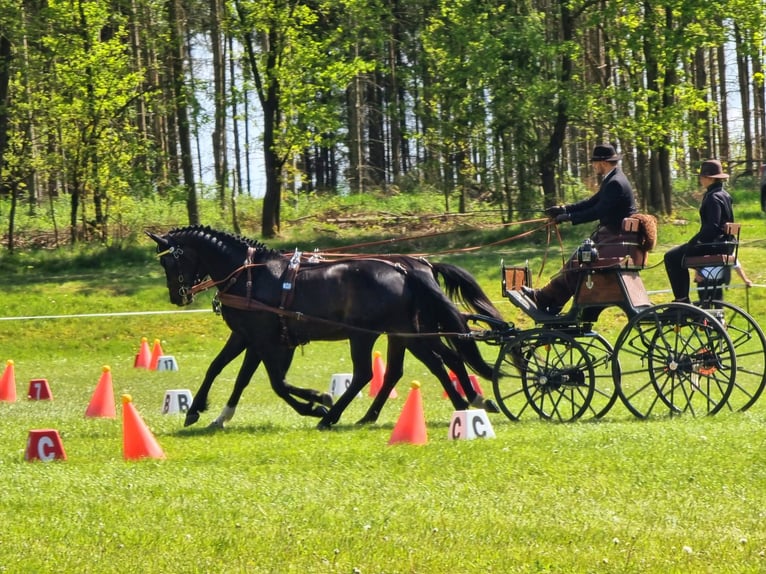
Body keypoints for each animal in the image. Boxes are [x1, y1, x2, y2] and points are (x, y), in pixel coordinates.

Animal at [149, 227, 504, 430]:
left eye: (169, 260)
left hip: (371, 335)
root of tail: (409, 268)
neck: (250, 276)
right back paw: (463, 403)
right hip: (404, 333)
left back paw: (331, 417)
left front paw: (316, 401)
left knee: (372, 373)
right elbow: (224, 371)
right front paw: (206, 413)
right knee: (431, 363)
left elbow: (277, 382)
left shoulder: (269, 341)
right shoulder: (248, 337)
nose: (177, 296)